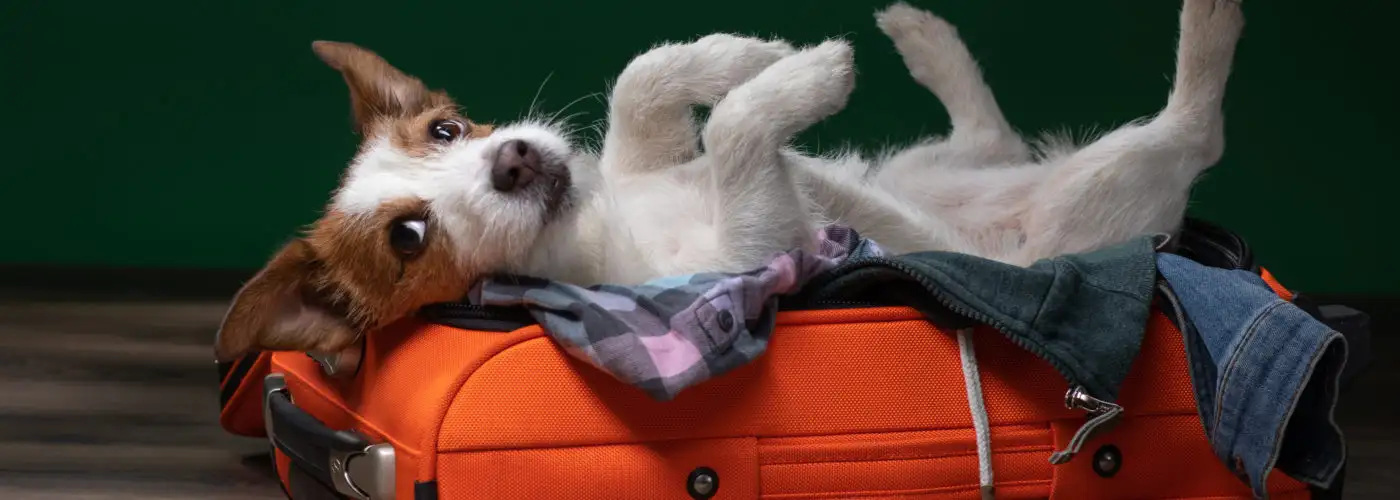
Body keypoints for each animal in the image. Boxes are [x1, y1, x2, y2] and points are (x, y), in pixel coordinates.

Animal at [212, 36, 856, 361]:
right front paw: (818, 73)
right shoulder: (751, 253)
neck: (591, 232)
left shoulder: (653, 158)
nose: (513, 160)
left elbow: (642, 78)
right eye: (407, 238)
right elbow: (732, 128)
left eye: (445, 129)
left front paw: (754, 54)